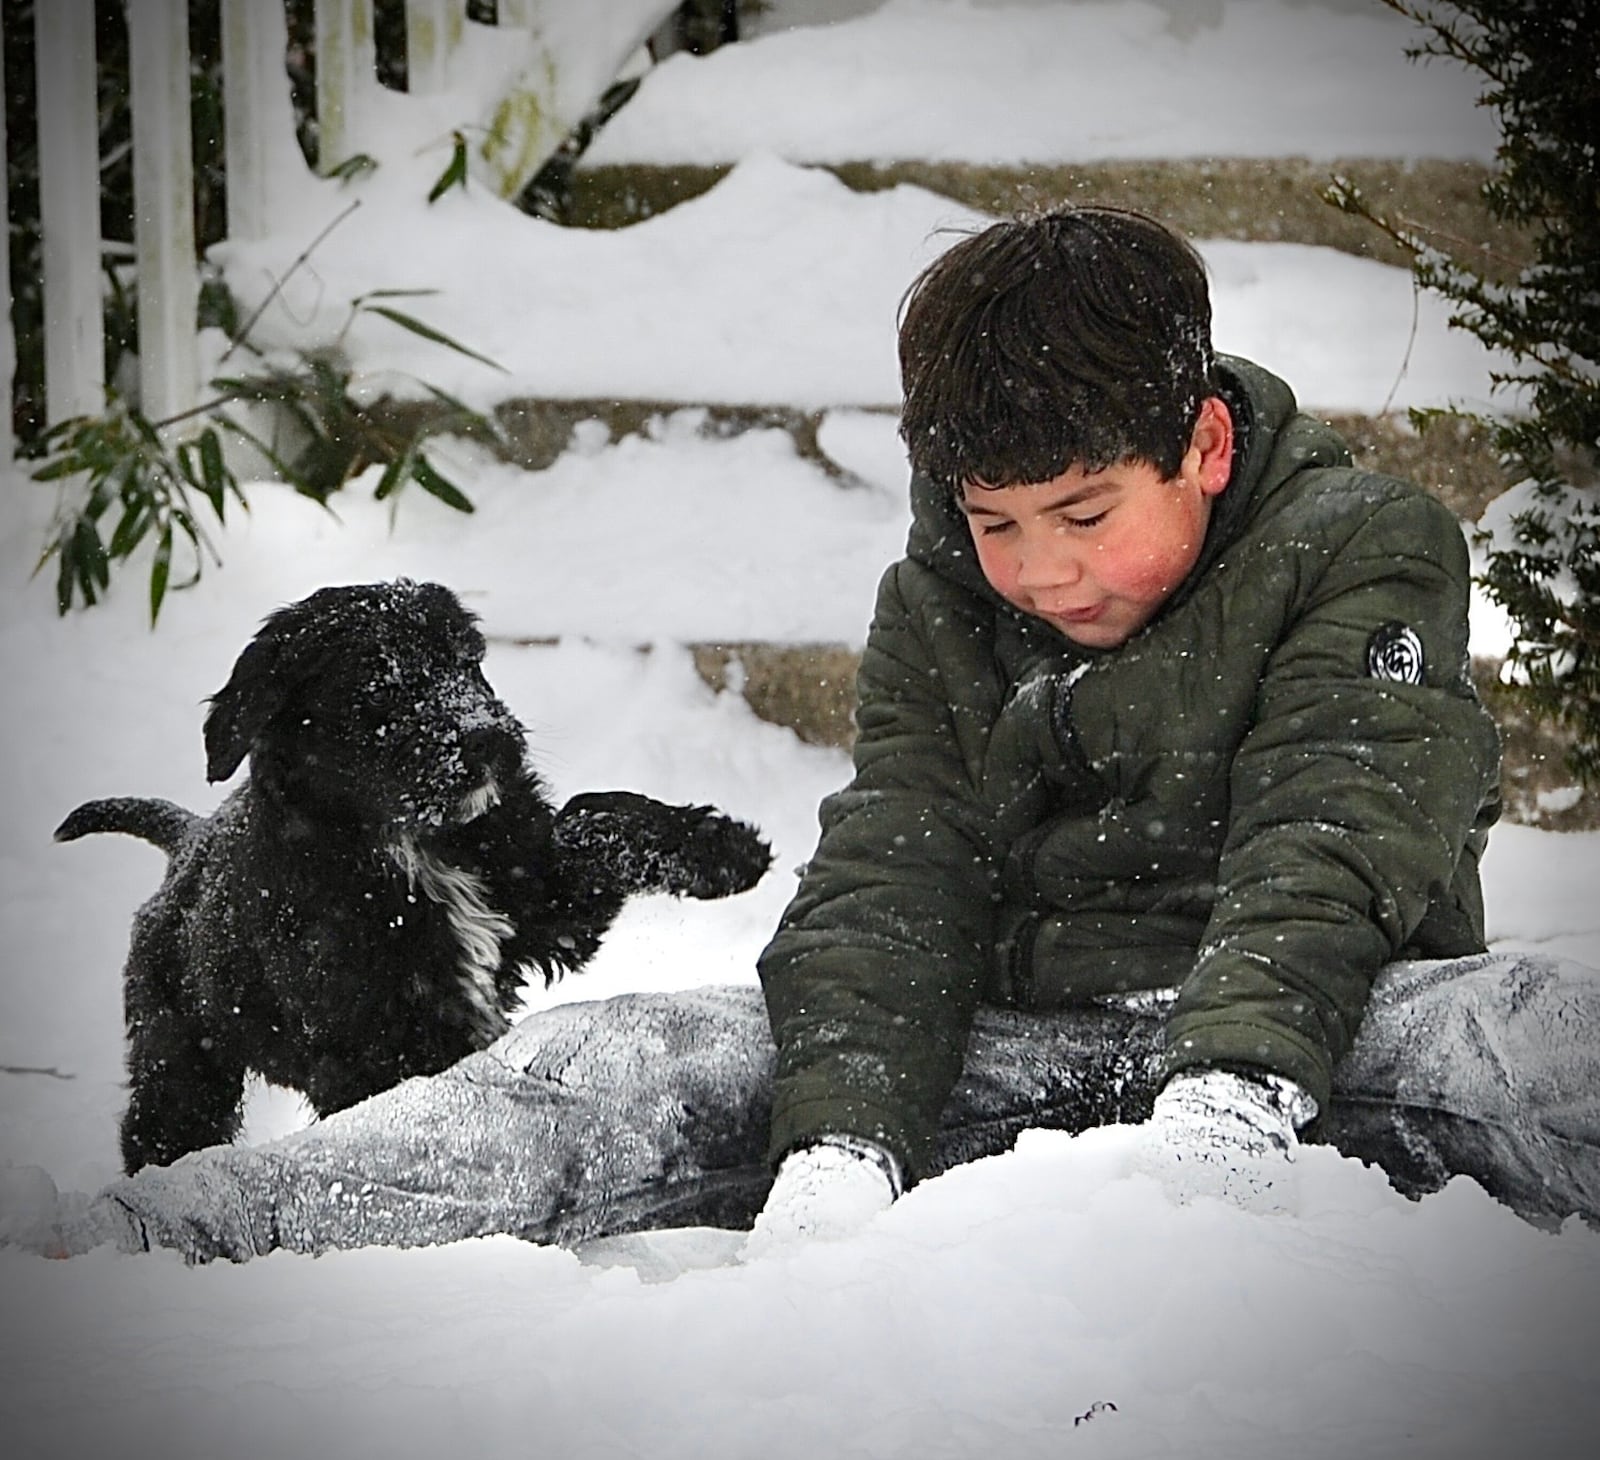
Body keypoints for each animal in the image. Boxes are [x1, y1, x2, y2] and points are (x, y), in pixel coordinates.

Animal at [56, 582, 768, 1171]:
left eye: (468, 662)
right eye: (380, 688)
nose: (488, 739)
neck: (415, 843)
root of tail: (186, 842)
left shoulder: (545, 898)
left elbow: (593, 816)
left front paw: (720, 847)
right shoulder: (373, 1038)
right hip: (178, 1051)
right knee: (164, 1124)